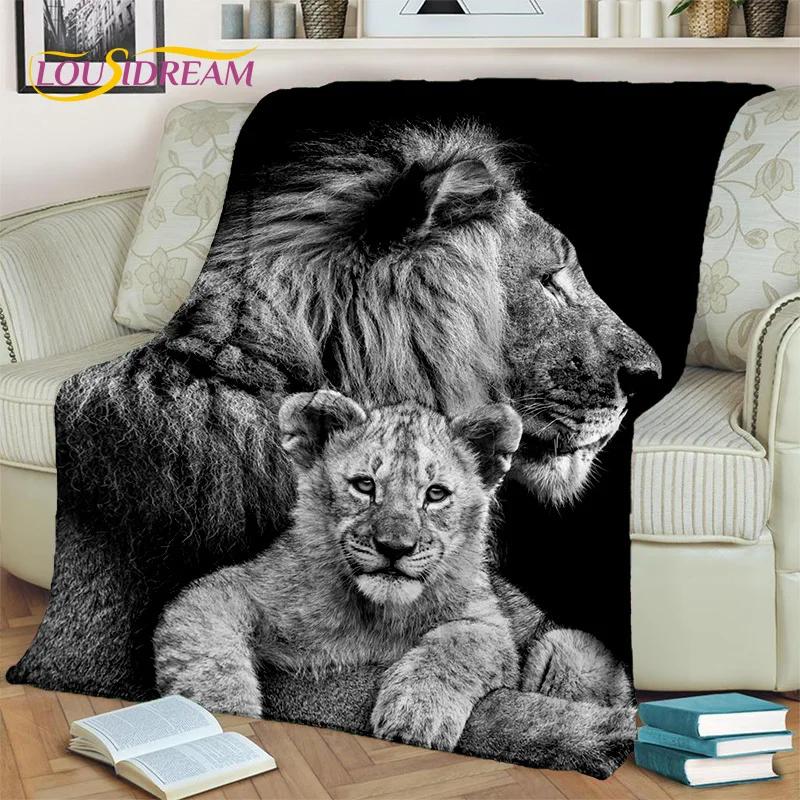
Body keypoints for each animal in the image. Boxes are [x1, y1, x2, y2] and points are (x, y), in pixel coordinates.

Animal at [154, 390, 633, 751]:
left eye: (435, 494)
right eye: (365, 485)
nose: (394, 547)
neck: (374, 615)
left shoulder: (490, 624)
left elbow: (457, 643)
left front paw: (415, 717)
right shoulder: (234, 586)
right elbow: (203, 638)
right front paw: (222, 714)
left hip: (569, 648)